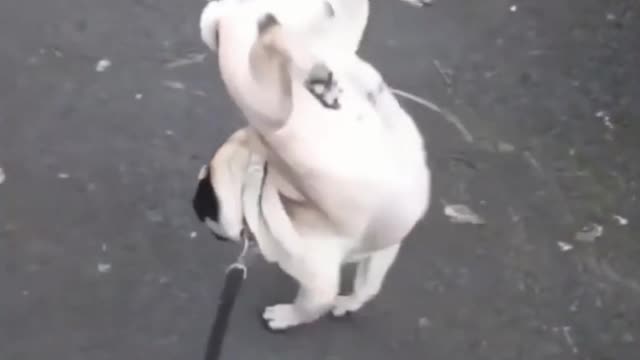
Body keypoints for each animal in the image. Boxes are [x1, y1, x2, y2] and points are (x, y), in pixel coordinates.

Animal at [196, 0, 430, 332]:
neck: (252, 181)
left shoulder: (316, 275)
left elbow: (311, 304)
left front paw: (286, 316)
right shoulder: (382, 251)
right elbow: (368, 286)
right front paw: (349, 303)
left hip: (263, 100)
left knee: (270, 46)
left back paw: (308, 69)